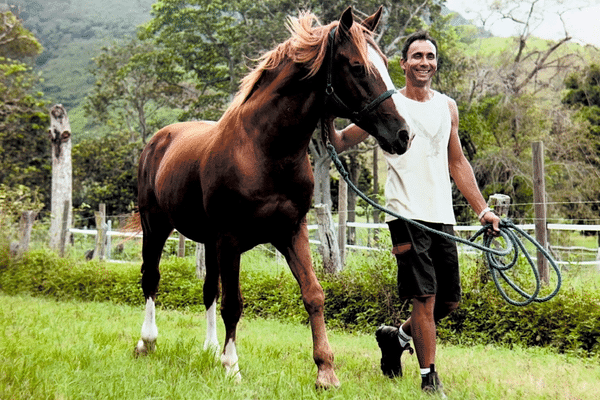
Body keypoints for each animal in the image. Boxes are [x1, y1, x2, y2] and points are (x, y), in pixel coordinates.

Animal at [134, 6, 410, 388]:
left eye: (384, 62)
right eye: (357, 66)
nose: (402, 135)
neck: (265, 150)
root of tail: (159, 140)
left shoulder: (291, 231)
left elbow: (313, 294)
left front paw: (325, 370)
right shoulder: (231, 239)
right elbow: (233, 303)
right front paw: (232, 366)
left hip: (208, 241)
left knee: (207, 288)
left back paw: (209, 349)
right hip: (156, 225)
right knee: (152, 277)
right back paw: (147, 342)